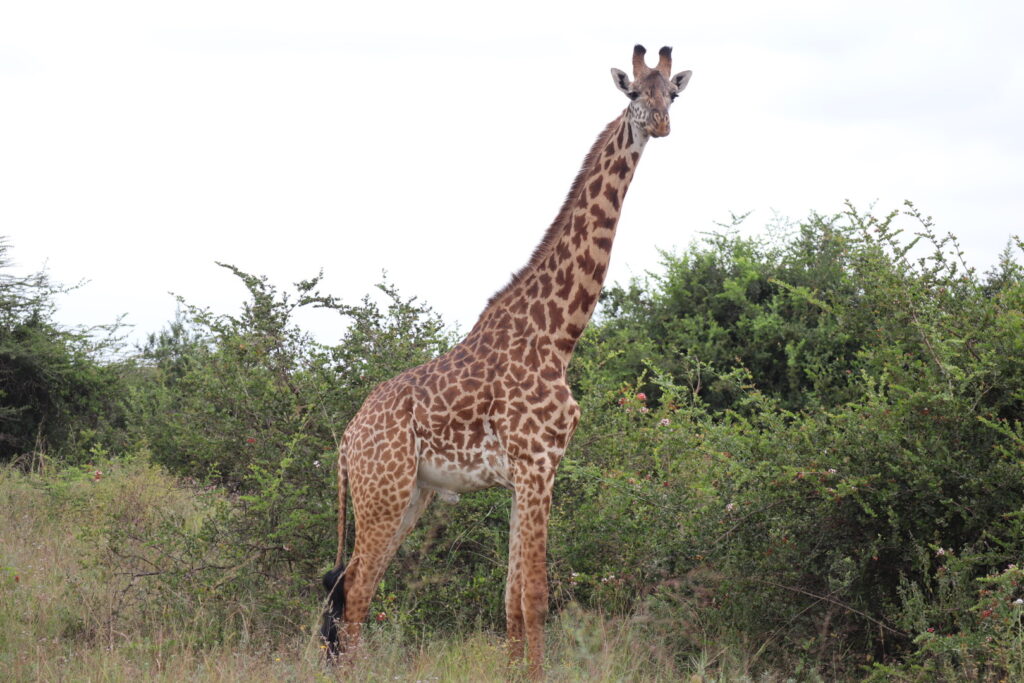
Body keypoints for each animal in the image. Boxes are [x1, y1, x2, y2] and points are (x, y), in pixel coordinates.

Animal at [315, 45, 692, 679]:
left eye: (675, 94)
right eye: (634, 93)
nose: (661, 124)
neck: (558, 336)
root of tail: (347, 440)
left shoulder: (531, 472)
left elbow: (512, 599)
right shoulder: (537, 463)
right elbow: (536, 596)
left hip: (408, 495)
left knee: (346, 589)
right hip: (382, 490)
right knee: (357, 590)